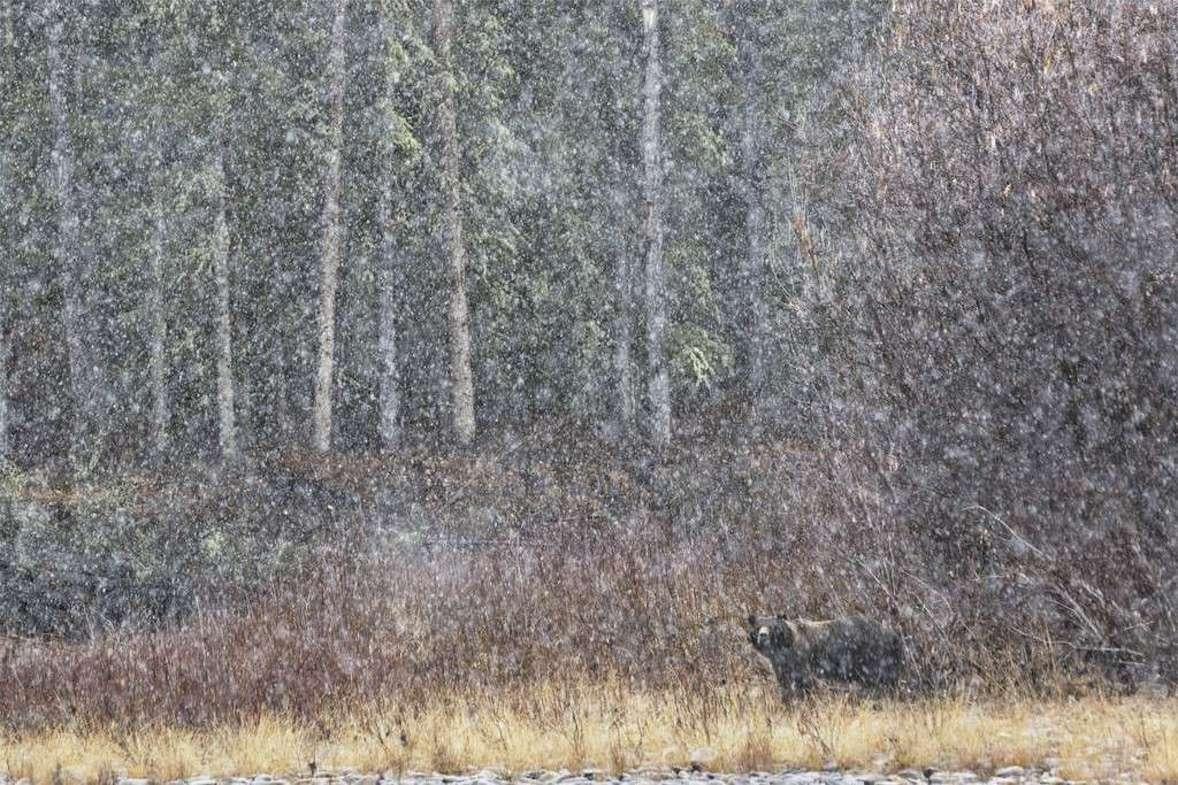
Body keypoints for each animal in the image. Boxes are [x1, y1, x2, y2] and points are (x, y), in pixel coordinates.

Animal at [744, 612, 899, 693]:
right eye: (758, 626)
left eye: (773, 627)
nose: (763, 635)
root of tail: (891, 632)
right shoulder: (781, 666)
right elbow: (786, 684)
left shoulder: (800, 661)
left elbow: (803, 683)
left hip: (873, 656)